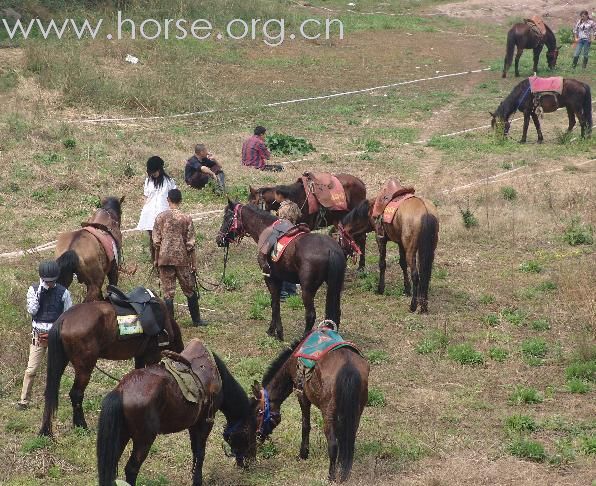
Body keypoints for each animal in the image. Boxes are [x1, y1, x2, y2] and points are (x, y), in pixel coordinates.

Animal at [38, 296, 183, 436]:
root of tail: (64, 318)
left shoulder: (140, 358)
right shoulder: (152, 357)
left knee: (51, 392)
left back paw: (46, 430)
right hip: (85, 368)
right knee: (76, 394)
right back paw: (81, 425)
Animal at [97, 340, 256, 486]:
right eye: (250, 432)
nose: (251, 461)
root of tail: (121, 390)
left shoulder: (194, 424)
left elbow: (195, 451)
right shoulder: (205, 422)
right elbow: (201, 453)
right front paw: (197, 481)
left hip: (122, 435)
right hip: (144, 439)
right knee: (131, 469)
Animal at [215, 199, 344, 340]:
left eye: (227, 217)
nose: (219, 240)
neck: (264, 229)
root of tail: (331, 249)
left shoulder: (269, 277)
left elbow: (274, 303)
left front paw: (276, 332)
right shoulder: (279, 278)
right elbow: (275, 302)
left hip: (307, 290)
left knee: (310, 314)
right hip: (335, 287)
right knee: (336, 313)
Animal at [250, 334, 368, 482]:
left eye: (258, 412)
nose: (257, 436)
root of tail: (348, 366)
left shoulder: (302, 395)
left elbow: (305, 425)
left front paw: (303, 454)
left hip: (328, 414)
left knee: (333, 444)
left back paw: (331, 476)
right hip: (356, 412)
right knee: (348, 440)